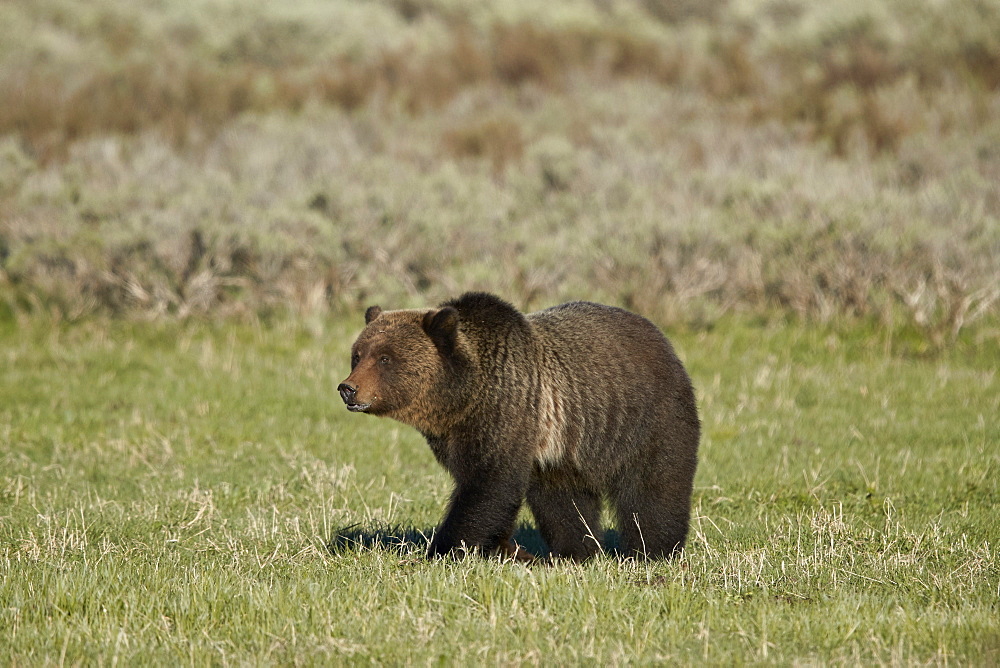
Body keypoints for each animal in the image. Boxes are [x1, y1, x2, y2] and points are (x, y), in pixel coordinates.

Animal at [336, 292, 696, 560]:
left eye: (385, 358)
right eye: (358, 354)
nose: (348, 388)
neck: (462, 399)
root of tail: (661, 337)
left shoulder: (507, 413)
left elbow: (489, 486)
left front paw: (443, 549)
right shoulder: (459, 435)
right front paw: (502, 548)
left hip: (646, 420)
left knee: (655, 488)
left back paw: (652, 551)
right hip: (566, 451)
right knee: (564, 502)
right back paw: (574, 552)